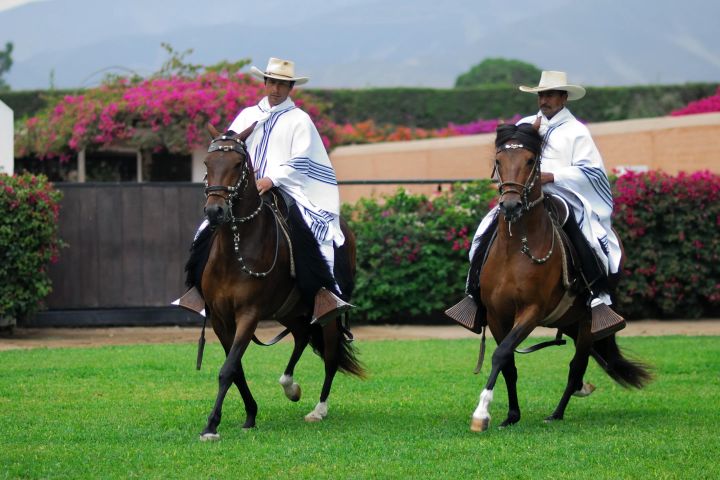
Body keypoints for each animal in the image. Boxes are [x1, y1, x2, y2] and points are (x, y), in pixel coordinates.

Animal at [194, 123, 364, 440]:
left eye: (238, 164)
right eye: (208, 163)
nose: (215, 211)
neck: (235, 253)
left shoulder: (249, 314)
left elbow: (228, 368)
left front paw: (211, 425)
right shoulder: (221, 319)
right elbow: (235, 368)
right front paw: (250, 414)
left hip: (327, 315)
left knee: (331, 356)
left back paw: (318, 410)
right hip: (289, 311)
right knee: (301, 337)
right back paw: (290, 386)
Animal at [469, 123, 651, 432]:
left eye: (531, 160)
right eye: (498, 161)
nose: (510, 205)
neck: (515, 249)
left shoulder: (531, 311)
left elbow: (501, 353)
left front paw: (481, 413)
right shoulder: (495, 314)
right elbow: (508, 364)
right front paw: (511, 415)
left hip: (587, 323)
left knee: (576, 366)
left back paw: (557, 411)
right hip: (569, 321)